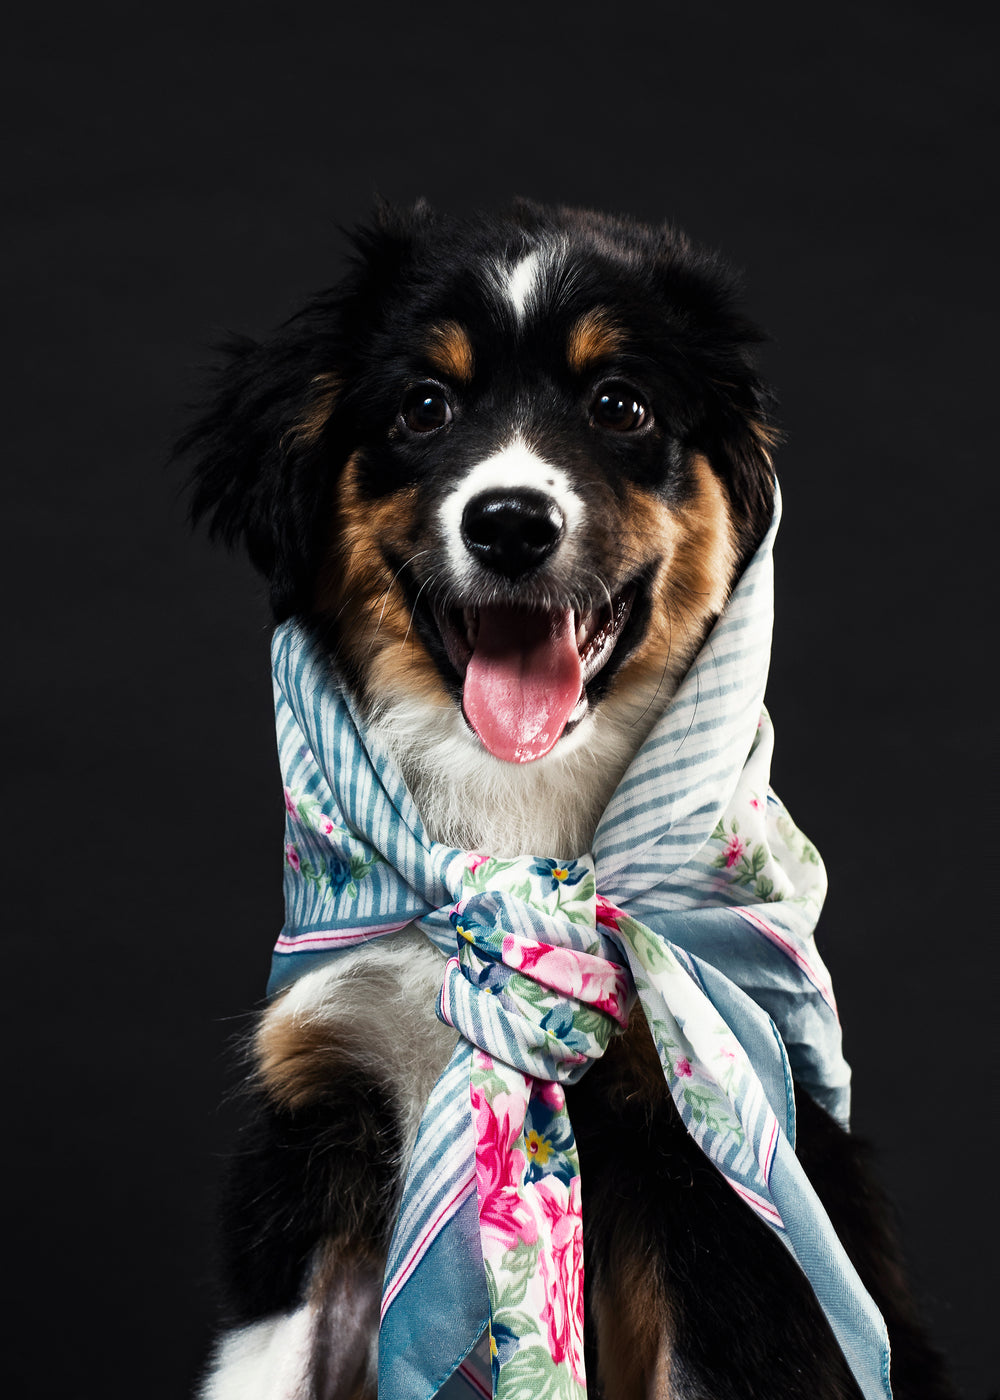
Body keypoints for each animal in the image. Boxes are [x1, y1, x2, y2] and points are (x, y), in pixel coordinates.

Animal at [179, 200, 952, 1400]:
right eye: (424, 405)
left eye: (619, 405)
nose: (508, 521)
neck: (516, 827)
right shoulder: (315, 1126)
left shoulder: (719, 1176)